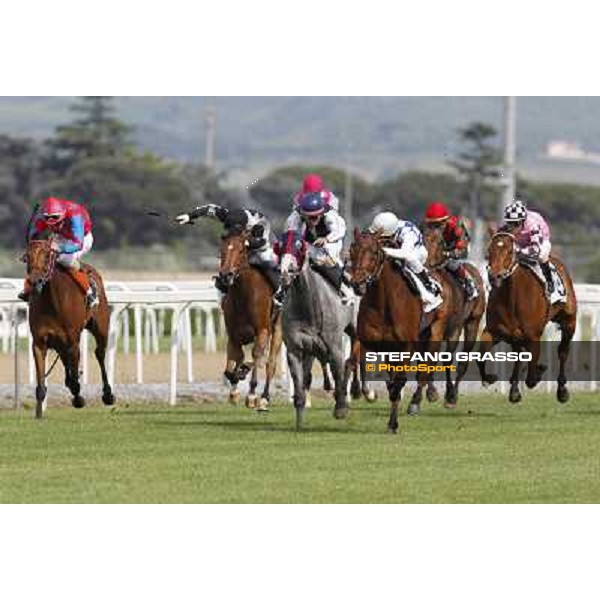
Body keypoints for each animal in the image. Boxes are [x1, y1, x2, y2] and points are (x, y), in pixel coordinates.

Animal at [23, 238, 115, 418]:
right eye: (27, 257)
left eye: (47, 256)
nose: (34, 282)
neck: (52, 302)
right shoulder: (39, 343)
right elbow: (41, 384)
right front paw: (39, 413)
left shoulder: (73, 342)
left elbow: (75, 381)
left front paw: (78, 398)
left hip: (101, 328)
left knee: (100, 354)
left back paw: (108, 394)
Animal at [219, 227, 282, 410]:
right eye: (222, 250)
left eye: (241, 250)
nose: (225, 276)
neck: (243, 296)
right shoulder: (233, 336)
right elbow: (233, 363)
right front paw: (234, 391)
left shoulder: (262, 331)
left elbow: (256, 356)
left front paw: (252, 394)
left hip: (277, 330)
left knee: (270, 363)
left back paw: (264, 397)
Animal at [278, 231, 356, 432]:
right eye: (280, 245)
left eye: (299, 245)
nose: (286, 272)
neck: (309, 307)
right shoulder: (296, 350)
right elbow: (299, 385)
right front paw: (299, 421)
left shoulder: (335, 347)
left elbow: (339, 372)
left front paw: (341, 408)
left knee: (353, 358)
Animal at [422, 226, 488, 408]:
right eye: (422, 238)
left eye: (438, 241)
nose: (425, 263)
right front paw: (431, 391)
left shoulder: (441, 327)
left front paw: (442, 393)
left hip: (470, 324)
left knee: (460, 361)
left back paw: (452, 395)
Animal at [478, 232, 576, 406]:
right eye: (489, 251)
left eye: (510, 251)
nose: (494, 276)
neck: (512, 296)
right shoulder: (492, 331)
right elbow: (480, 357)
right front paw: (490, 377)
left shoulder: (533, 336)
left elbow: (531, 378)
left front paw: (538, 372)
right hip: (515, 336)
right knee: (519, 355)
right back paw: (514, 390)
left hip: (569, 322)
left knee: (563, 352)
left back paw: (562, 390)